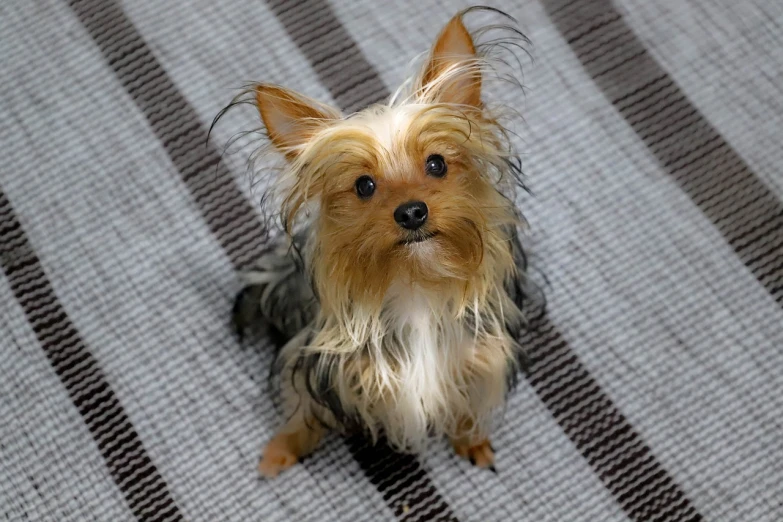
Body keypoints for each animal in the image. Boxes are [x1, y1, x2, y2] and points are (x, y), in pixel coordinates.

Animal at [224, 6, 536, 476]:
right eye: (364, 185)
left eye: (437, 164)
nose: (411, 212)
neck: (415, 281)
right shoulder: (319, 368)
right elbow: (301, 411)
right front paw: (282, 450)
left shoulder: (481, 358)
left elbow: (469, 403)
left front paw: (472, 440)